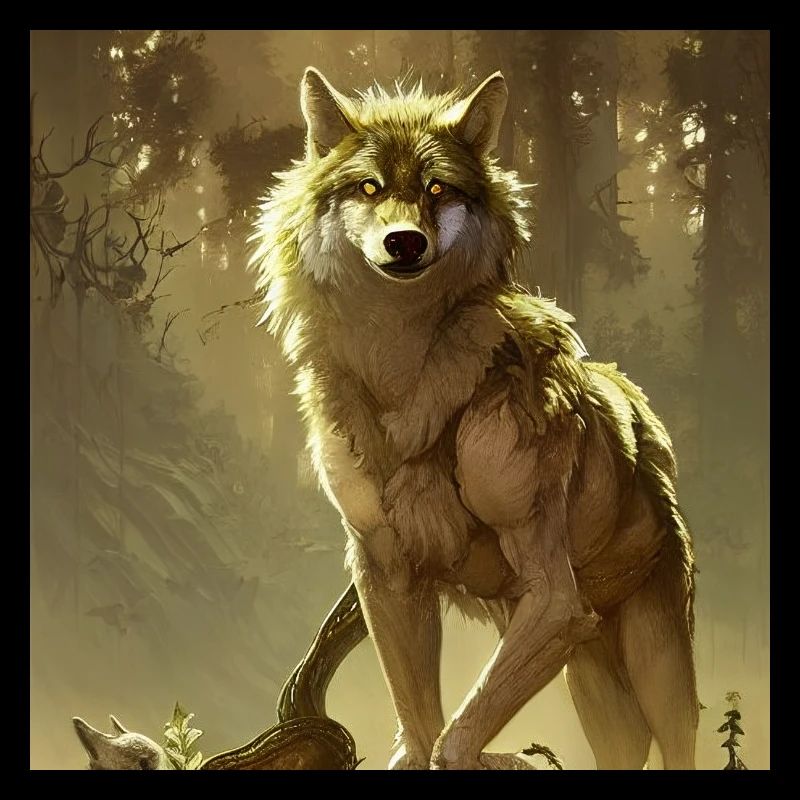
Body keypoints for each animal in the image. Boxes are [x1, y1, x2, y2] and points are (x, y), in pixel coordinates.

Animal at [249, 67, 698, 770]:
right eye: (369, 186)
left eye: (438, 189)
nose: (405, 242)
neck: (402, 376)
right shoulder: (387, 576)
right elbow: (419, 725)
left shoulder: (554, 599)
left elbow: (453, 738)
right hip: (586, 677)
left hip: (654, 665)